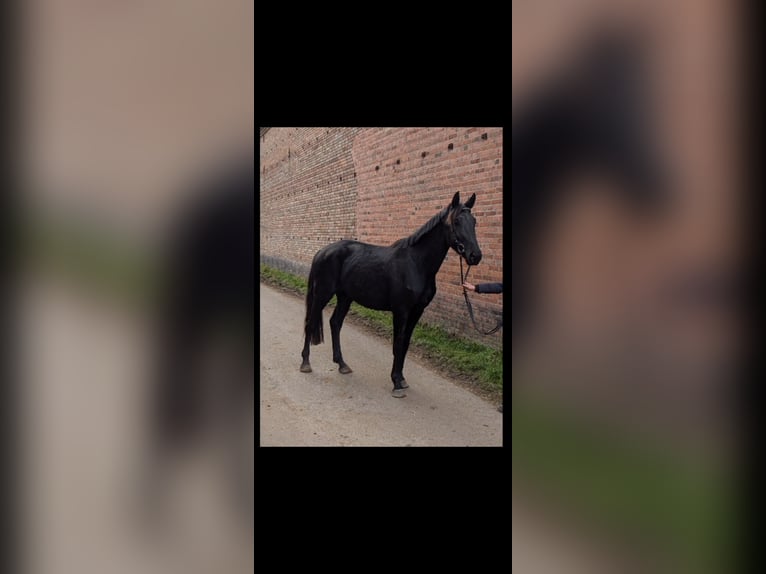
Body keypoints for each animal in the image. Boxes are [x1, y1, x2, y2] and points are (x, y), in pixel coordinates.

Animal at [300, 191, 481, 398]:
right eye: (457, 221)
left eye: (474, 221)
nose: (475, 256)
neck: (416, 264)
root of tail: (322, 252)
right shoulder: (401, 311)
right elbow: (398, 342)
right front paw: (396, 383)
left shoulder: (417, 311)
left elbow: (406, 344)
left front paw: (401, 379)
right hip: (322, 294)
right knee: (310, 321)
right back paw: (305, 363)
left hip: (345, 297)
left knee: (335, 323)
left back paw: (342, 364)